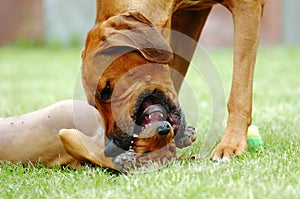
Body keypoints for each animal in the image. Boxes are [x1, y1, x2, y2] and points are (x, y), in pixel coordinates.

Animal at [80, 0, 264, 165]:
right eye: (94, 105)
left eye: (106, 90)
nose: (111, 148)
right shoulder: (189, 17)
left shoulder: (247, 6)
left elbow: (239, 91)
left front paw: (231, 143)